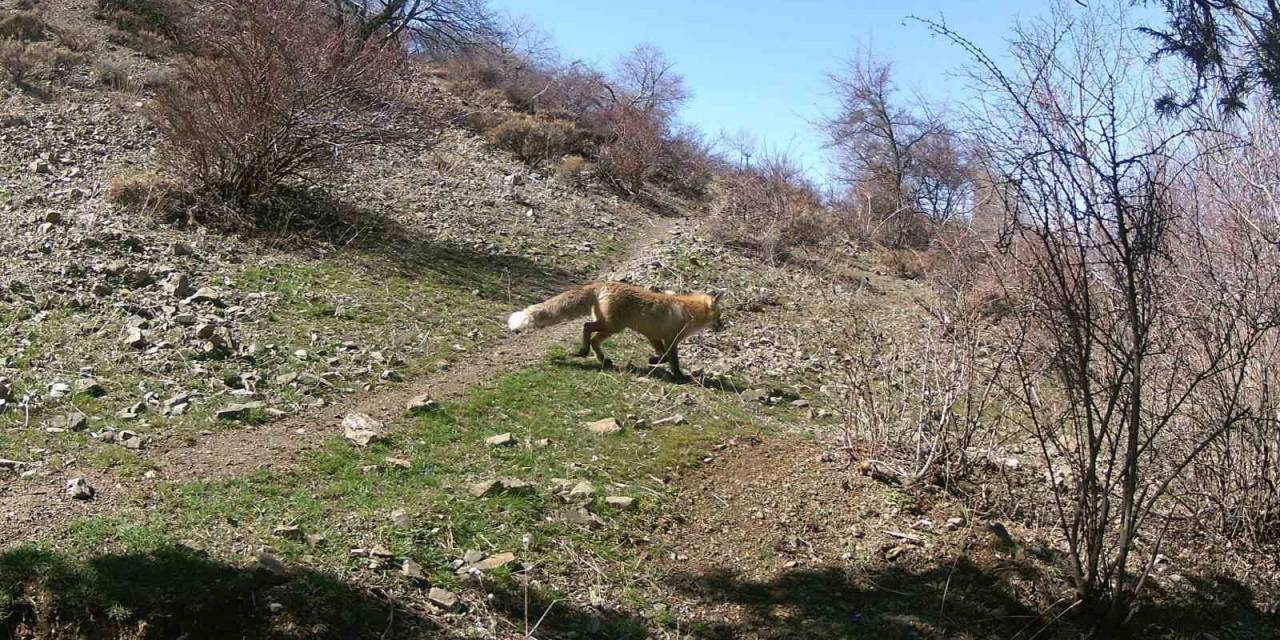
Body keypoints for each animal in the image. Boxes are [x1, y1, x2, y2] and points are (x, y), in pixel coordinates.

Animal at [509, 281, 732, 378]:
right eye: (719, 317)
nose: (723, 328)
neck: (689, 312)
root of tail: (602, 284)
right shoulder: (670, 339)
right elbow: (672, 359)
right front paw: (679, 376)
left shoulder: (653, 336)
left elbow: (663, 356)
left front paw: (653, 361)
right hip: (613, 326)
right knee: (586, 327)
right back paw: (584, 351)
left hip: (611, 329)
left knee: (594, 338)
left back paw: (602, 359)